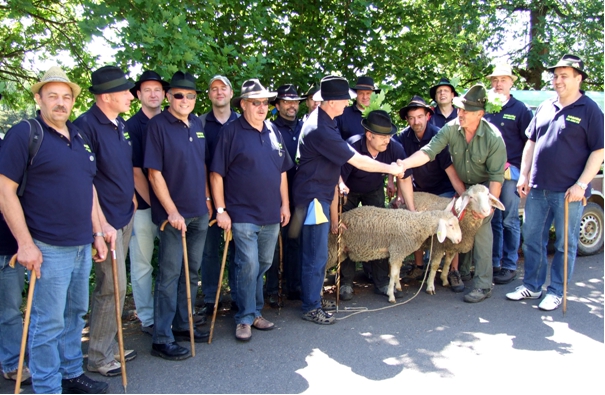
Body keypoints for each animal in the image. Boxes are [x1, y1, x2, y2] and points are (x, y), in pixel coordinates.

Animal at [328, 207, 460, 304]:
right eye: (450, 225)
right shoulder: (397, 250)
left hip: (342, 252)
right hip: (332, 250)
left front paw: (398, 287)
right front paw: (391, 295)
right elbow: (393, 274)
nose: (459, 240)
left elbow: (396, 272)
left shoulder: (398, 252)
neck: (416, 224)